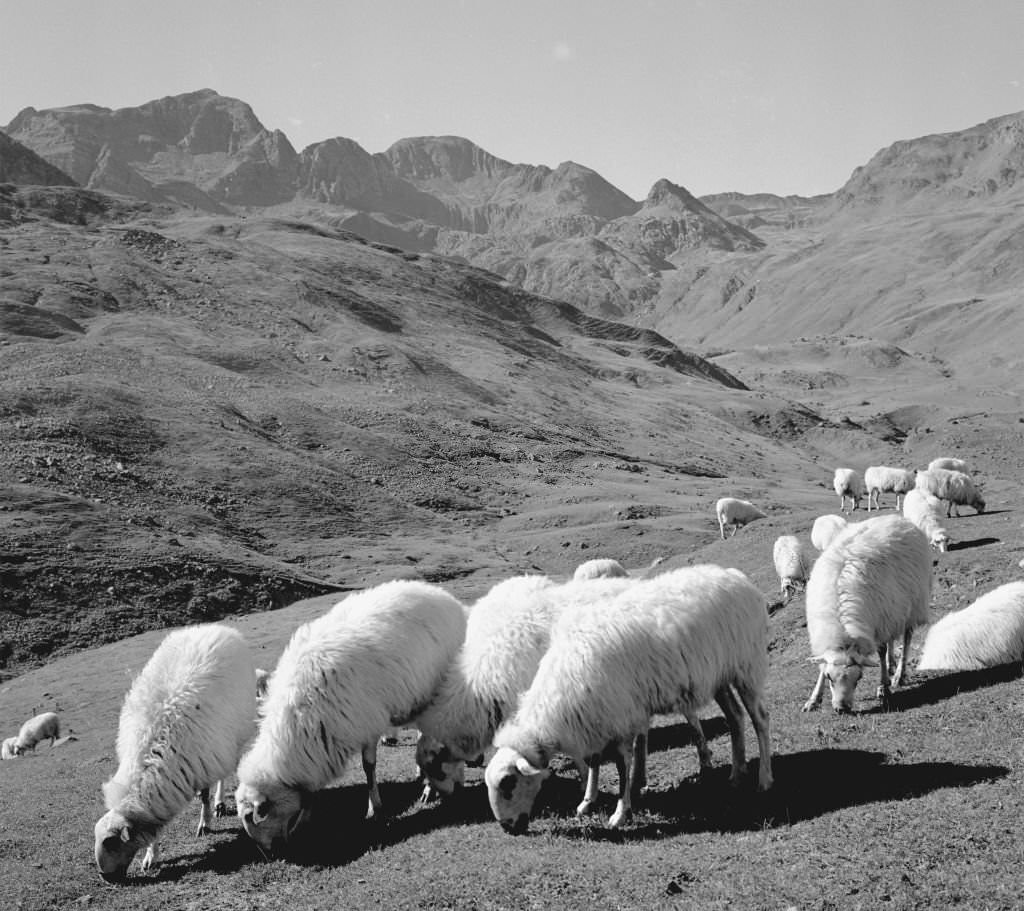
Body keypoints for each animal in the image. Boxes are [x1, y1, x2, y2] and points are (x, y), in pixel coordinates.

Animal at [93, 626, 256, 880]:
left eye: (110, 843)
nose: (106, 878)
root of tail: (216, 628)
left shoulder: (202, 762)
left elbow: (204, 796)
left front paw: (205, 823)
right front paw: (151, 856)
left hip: (231, 737)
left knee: (225, 772)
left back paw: (219, 804)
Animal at [234, 577, 466, 855]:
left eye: (255, 815)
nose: (269, 853)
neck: (299, 724)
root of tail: (443, 595)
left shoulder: (366, 722)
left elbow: (368, 767)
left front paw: (374, 808)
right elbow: (310, 793)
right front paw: (306, 819)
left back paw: (429, 786)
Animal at [483, 565, 770, 835]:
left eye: (508, 784)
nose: (507, 828)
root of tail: (736, 576)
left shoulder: (620, 718)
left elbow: (623, 766)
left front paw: (621, 813)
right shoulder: (596, 716)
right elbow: (594, 760)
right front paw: (588, 801)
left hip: (747, 665)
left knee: (760, 719)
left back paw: (764, 780)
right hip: (719, 675)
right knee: (735, 717)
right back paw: (736, 775)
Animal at [798, 511, 937, 708]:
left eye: (859, 679)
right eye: (829, 678)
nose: (842, 709)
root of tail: (898, 518)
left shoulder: (878, 624)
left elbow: (881, 651)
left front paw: (883, 687)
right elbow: (823, 664)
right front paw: (814, 699)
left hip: (912, 607)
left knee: (907, 638)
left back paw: (898, 674)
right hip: (893, 609)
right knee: (892, 638)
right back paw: (891, 665)